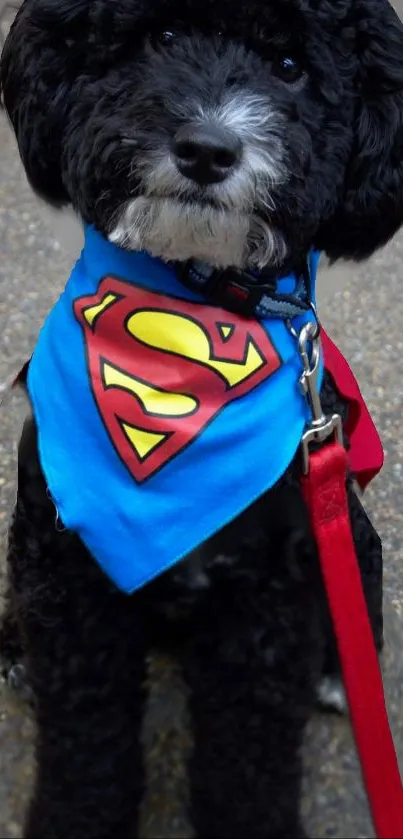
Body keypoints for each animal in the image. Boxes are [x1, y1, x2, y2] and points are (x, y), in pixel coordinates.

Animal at [0, 0, 403, 836]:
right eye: (161, 38)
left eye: (290, 68)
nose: (208, 149)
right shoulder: (68, 578)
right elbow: (86, 741)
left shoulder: (267, 598)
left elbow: (247, 752)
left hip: (346, 531)